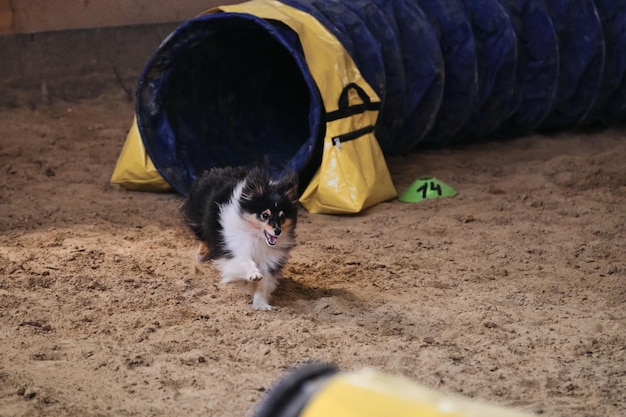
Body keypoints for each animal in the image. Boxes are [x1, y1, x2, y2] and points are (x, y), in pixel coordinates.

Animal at [180, 166, 298, 308]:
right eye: (265, 215)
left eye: (282, 216)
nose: (277, 231)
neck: (257, 237)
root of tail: (215, 170)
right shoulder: (233, 247)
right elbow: (244, 260)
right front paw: (253, 275)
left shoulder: (270, 259)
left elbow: (264, 283)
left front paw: (260, 304)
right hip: (199, 217)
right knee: (202, 235)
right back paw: (201, 255)